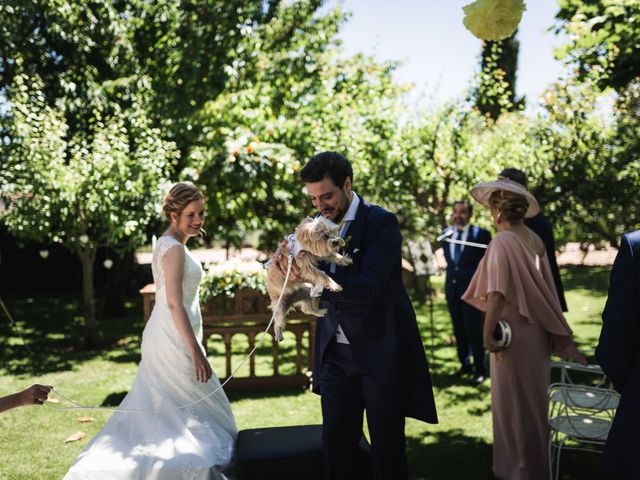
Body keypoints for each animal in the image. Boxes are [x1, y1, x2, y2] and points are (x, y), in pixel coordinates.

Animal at [268, 216, 352, 344]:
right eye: (324, 236)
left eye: (333, 231)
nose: (336, 242)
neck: (302, 245)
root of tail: (292, 300)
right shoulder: (305, 266)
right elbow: (322, 275)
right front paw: (334, 285)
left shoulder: (318, 252)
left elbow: (332, 255)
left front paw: (345, 259)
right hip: (280, 305)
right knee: (278, 321)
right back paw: (278, 334)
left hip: (308, 292)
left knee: (307, 309)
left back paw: (320, 312)